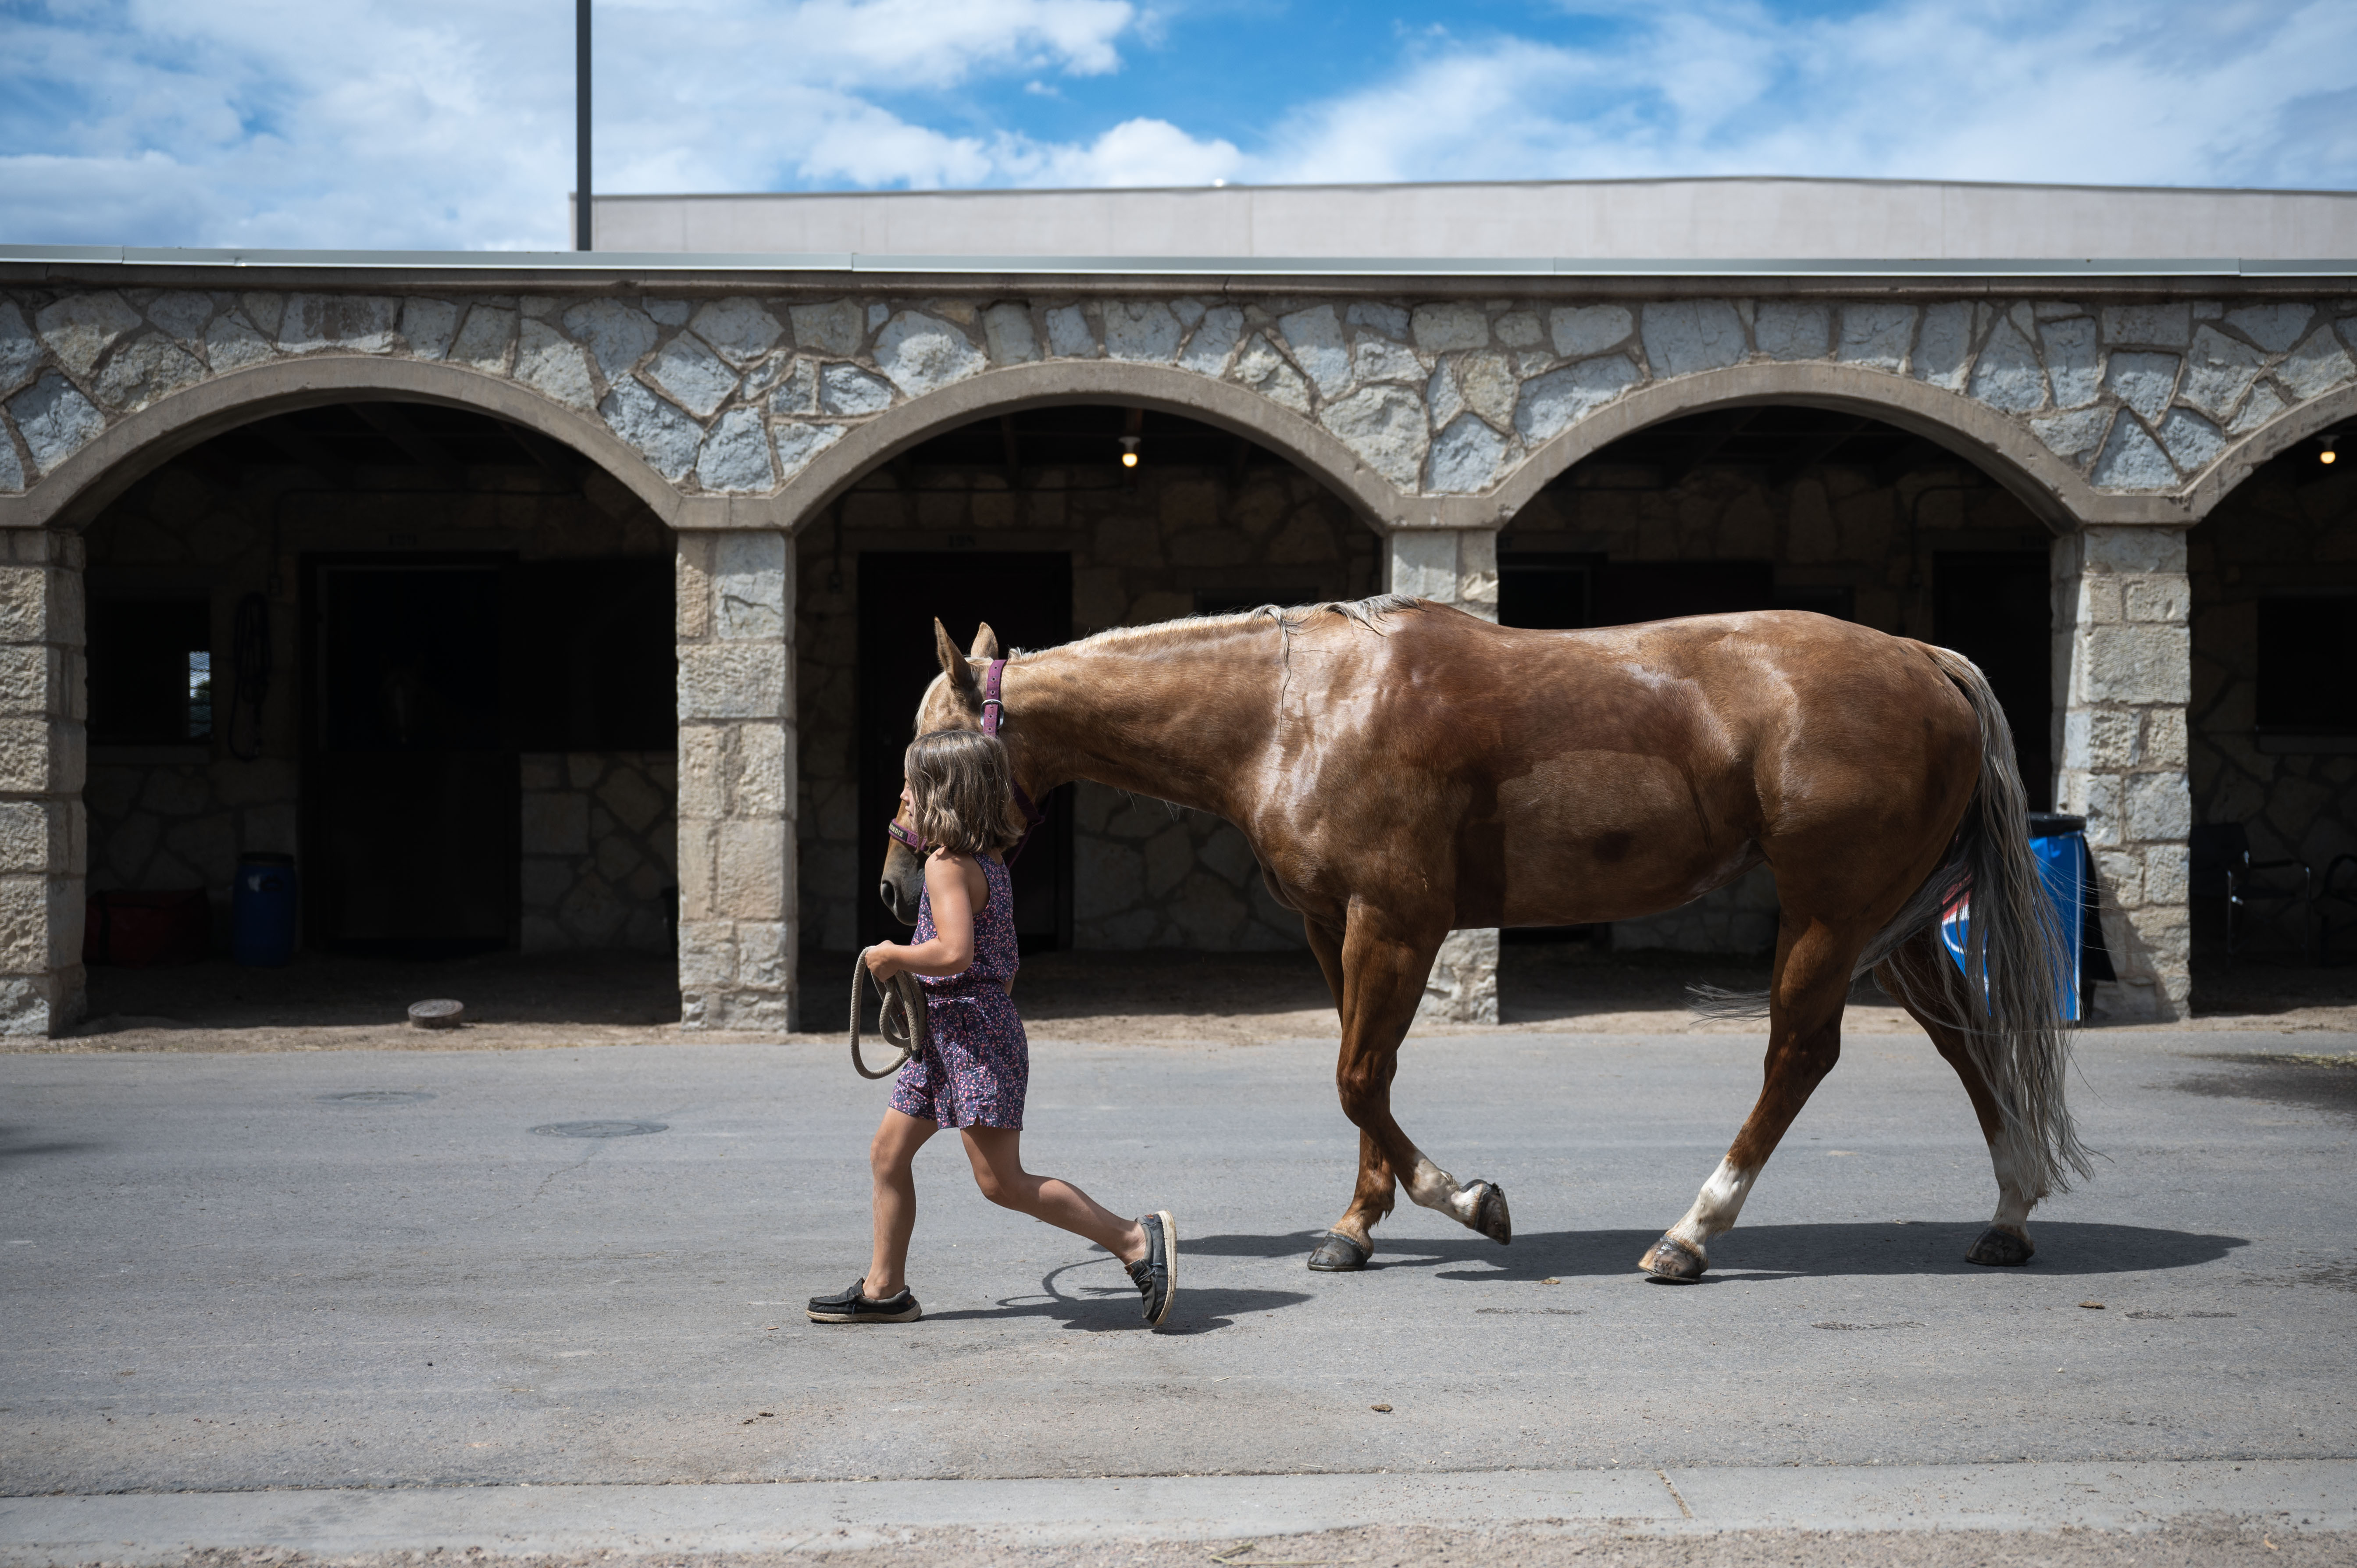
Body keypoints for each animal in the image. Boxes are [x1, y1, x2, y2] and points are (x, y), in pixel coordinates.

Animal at [880, 595, 2089, 1281]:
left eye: (924, 755)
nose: (898, 886)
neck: (1292, 708)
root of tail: (1922, 658)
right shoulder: (1334, 925)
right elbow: (1364, 1077)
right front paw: (1354, 1225)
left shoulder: (1397, 921)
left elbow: (1357, 1077)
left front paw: (1466, 1200)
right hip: (1893, 924)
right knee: (1963, 1040)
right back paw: (2008, 1211)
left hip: (1829, 914)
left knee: (1797, 1055)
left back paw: (1689, 1234)